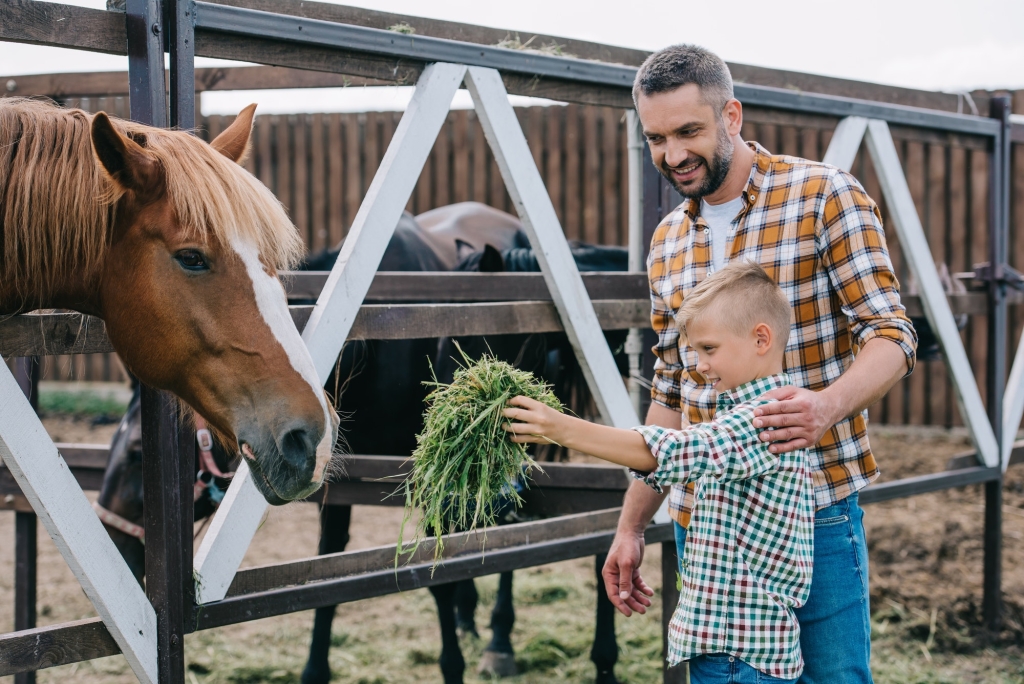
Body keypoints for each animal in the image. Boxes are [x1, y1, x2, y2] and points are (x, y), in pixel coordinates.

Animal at [92, 201, 626, 684]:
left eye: (137, 454)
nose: (115, 545)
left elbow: (438, 572)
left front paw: (454, 663)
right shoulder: (335, 475)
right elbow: (330, 563)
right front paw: (314, 669)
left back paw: (498, 640)